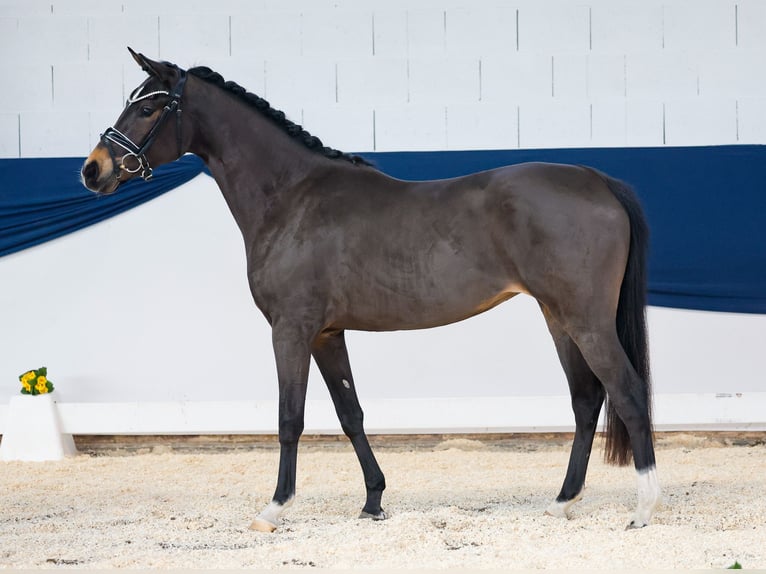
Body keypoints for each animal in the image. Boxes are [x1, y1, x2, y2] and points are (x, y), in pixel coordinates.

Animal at [82, 49, 660, 536]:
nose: (93, 170)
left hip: (585, 319)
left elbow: (289, 418)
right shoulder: (327, 333)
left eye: (150, 106)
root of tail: (597, 179)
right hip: (557, 316)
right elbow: (350, 414)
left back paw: (644, 509)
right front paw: (373, 501)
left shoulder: (291, 330)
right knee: (586, 399)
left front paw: (274, 509)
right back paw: (562, 502)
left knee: (628, 392)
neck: (292, 198)